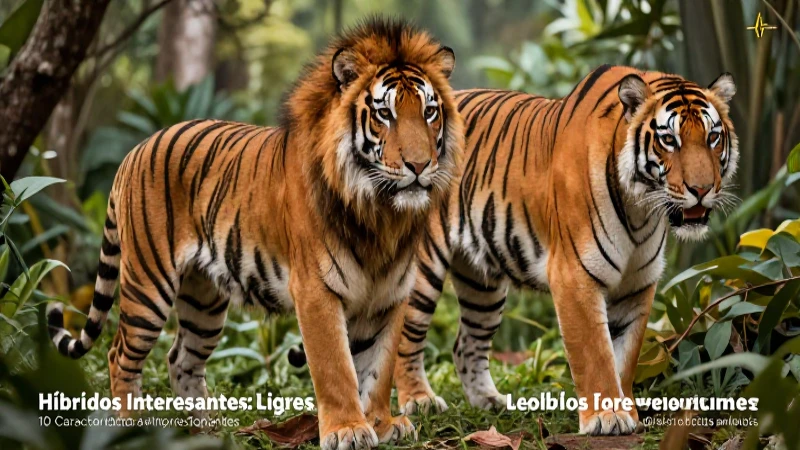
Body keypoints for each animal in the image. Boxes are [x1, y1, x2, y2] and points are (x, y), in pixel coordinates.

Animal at [46, 18, 463, 449]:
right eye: (384, 113)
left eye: (429, 112)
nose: (420, 165)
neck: (382, 215)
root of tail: (134, 150)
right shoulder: (316, 291)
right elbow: (336, 368)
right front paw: (348, 430)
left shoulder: (390, 294)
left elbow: (378, 369)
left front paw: (381, 424)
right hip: (148, 283)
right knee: (120, 355)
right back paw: (129, 430)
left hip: (203, 302)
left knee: (181, 358)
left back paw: (208, 432)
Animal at [394, 65, 738, 435]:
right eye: (669, 140)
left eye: (712, 138)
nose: (702, 189)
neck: (641, 211)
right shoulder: (575, 275)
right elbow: (595, 353)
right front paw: (607, 417)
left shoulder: (636, 285)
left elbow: (625, 355)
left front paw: (628, 412)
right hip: (421, 271)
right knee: (405, 337)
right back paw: (420, 402)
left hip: (481, 286)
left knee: (466, 344)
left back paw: (490, 402)